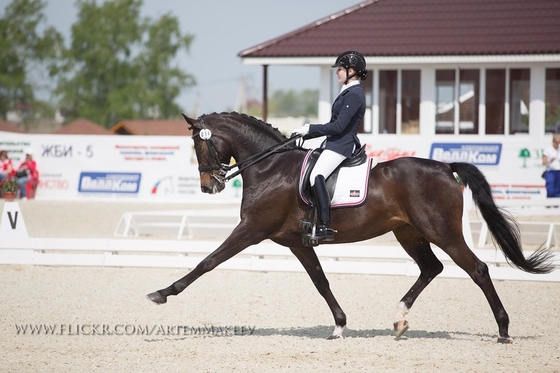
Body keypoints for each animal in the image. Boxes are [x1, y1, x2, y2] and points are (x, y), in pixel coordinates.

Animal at [147, 111, 552, 342]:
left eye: (199, 147)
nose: (208, 186)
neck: (269, 167)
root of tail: (444, 166)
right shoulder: (297, 242)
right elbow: (321, 281)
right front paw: (339, 325)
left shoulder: (251, 230)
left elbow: (207, 262)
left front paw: (163, 293)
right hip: (408, 232)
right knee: (431, 268)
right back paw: (399, 321)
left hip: (443, 231)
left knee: (478, 269)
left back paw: (503, 330)